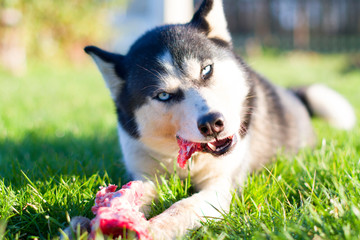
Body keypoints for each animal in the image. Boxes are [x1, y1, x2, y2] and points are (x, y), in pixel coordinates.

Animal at [64, 0, 354, 238]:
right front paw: (83, 226)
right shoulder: (145, 174)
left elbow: (185, 206)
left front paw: (156, 228)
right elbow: (132, 193)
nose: (212, 123)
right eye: (163, 95)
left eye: (206, 70)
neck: (189, 160)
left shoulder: (222, 185)